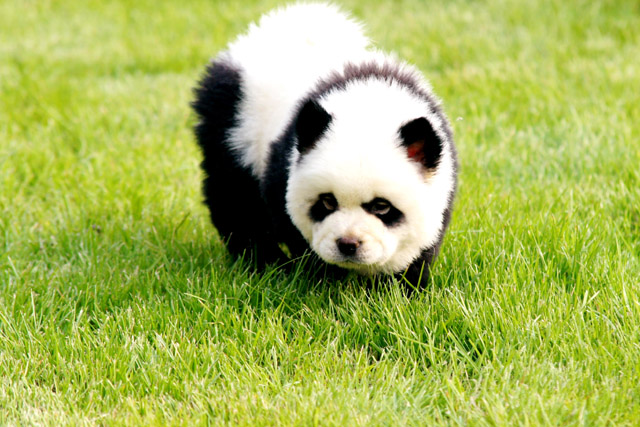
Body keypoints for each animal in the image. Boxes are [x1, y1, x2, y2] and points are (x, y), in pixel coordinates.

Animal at [191, 2, 458, 287]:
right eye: (328, 202)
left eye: (382, 206)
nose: (348, 244)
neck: (370, 106)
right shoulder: (283, 165)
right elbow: (293, 227)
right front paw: (322, 281)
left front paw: (402, 286)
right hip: (234, 124)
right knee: (234, 196)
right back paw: (262, 261)